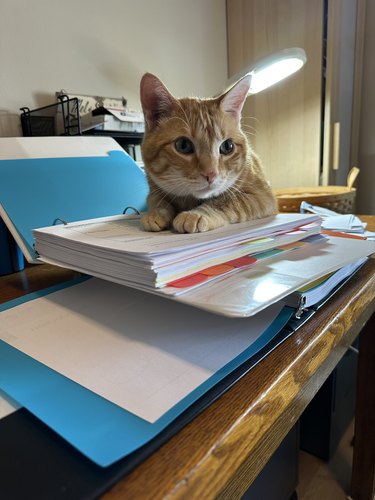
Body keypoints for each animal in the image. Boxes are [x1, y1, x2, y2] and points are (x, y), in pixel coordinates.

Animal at [140, 73, 278, 233]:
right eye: (183, 145)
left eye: (227, 146)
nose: (211, 174)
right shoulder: (154, 189)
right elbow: (157, 200)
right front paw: (156, 213)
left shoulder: (261, 196)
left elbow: (227, 201)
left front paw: (196, 214)